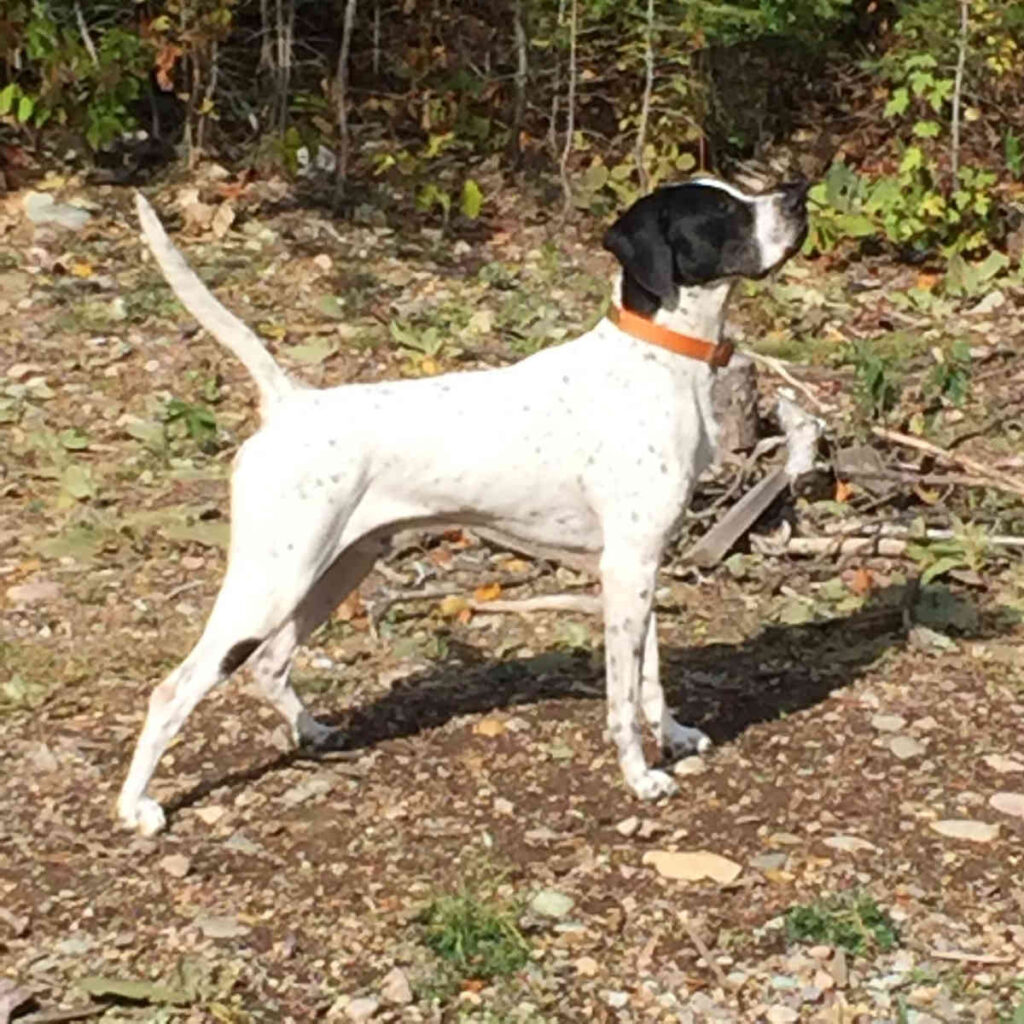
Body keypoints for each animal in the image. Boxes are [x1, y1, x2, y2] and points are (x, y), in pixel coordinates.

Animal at [117, 178, 806, 831]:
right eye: (722, 213)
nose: (798, 193)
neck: (655, 360)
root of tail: (290, 402)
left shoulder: (640, 565)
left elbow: (651, 676)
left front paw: (677, 737)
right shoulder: (627, 567)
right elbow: (622, 697)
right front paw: (639, 777)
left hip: (337, 570)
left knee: (270, 664)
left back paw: (312, 732)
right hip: (271, 582)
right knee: (173, 690)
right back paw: (136, 807)